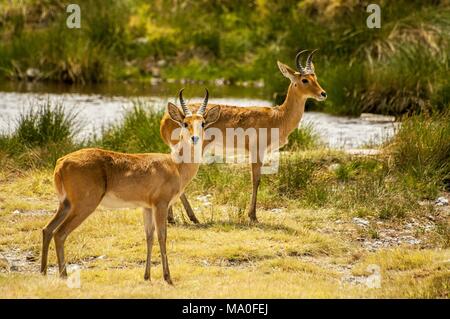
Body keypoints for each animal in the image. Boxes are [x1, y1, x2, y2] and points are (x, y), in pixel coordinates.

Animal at [40, 90, 220, 284]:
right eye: (185, 123)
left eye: (202, 123)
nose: (195, 138)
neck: (175, 165)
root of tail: (61, 161)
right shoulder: (161, 205)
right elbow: (162, 236)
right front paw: (167, 277)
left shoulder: (147, 207)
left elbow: (149, 237)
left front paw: (147, 276)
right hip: (83, 206)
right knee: (60, 233)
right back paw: (63, 275)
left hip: (65, 204)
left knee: (47, 229)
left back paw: (43, 272)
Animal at [162, 50, 326, 225]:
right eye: (304, 79)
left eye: (315, 76)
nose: (323, 93)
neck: (278, 117)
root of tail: (166, 118)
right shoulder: (257, 151)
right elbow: (256, 180)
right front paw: (253, 216)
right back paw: (189, 218)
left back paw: (174, 218)